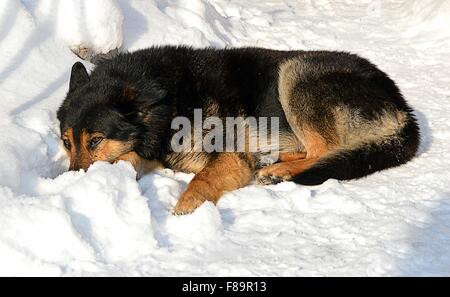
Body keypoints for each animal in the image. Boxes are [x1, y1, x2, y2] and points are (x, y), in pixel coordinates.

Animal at [57, 45, 422, 213]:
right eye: (66, 143)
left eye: (96, 140)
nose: (73, 180)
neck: (165, 99)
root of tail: (402, 106)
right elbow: (130, 159)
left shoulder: (229, 157)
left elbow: (202, 180)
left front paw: (183, 210)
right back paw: (275, 164)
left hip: (294, 73)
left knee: (324, 151)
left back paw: (280, 172)